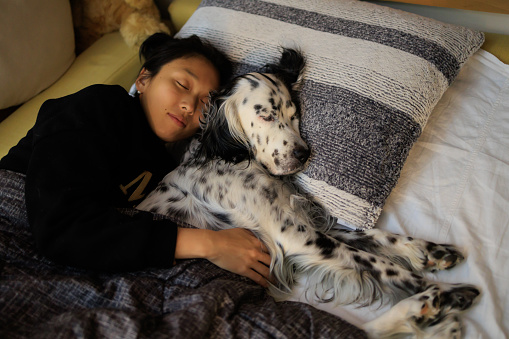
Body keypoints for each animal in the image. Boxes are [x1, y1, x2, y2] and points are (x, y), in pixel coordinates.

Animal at [137, 49, 478, 338]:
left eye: (294, 114)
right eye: (265, 115)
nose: (304, 153)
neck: (230, 159)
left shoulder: (306, 221)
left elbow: (377, 236)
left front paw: (430, 251)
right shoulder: (294, 235)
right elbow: (381, 263)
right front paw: (435, 286)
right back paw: (432, 304)